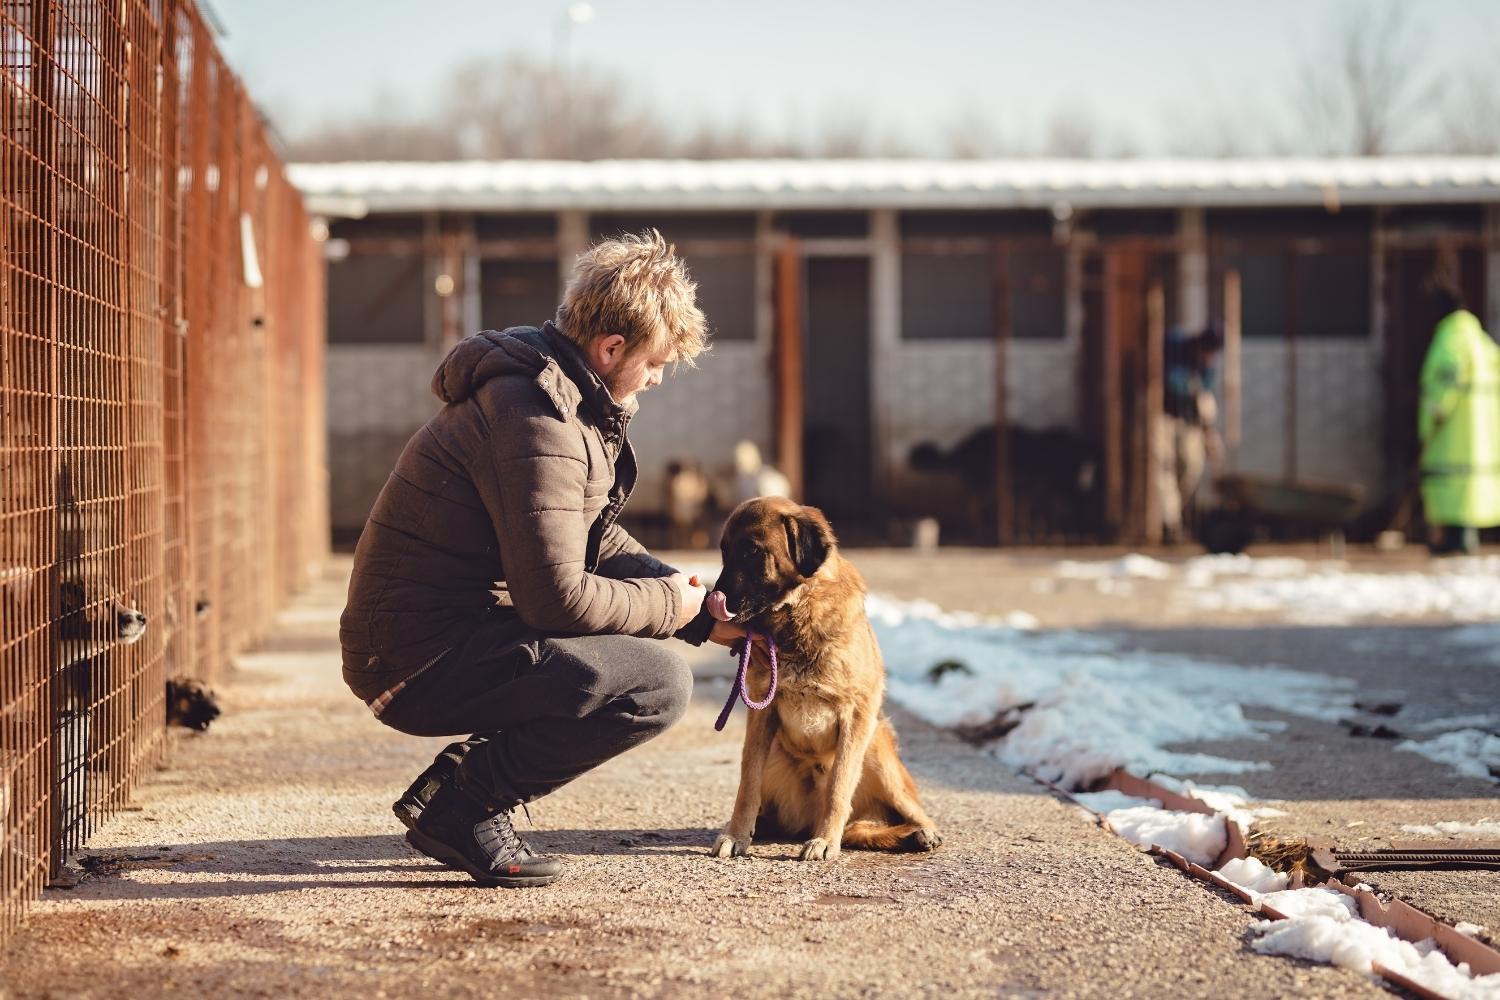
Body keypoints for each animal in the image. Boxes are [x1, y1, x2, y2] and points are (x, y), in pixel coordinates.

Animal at [708, 497, 942, 857]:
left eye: (752, 551)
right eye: (724, 550)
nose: (710, 601)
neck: (798, 614)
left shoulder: (856, 716)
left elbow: (839, 786)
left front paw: (825, 841)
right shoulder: (761, 716)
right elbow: (748, 784)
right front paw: (736, 834)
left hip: (877, 750)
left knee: (908, 810)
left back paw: (922, 833)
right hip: (776, 753)